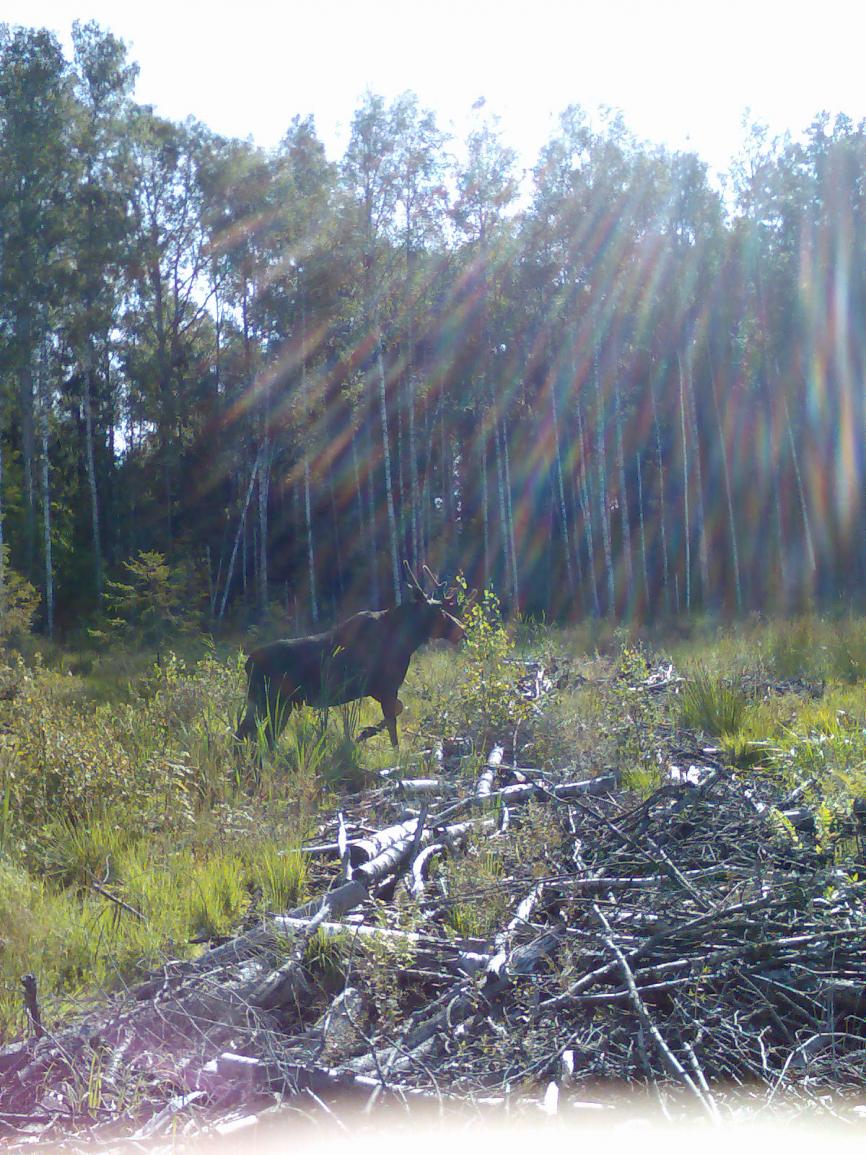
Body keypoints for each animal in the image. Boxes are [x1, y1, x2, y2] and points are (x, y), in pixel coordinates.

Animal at [235, 565, 468, 748]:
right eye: (438, 613)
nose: (461, 629)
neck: (405, 642)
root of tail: (248, 663)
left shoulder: (376, 690)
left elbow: (398, 710)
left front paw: (365, 733)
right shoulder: (385, 687)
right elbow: (393, 726)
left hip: (276, 705)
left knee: (252, 736)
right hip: (269, 702)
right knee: (251, 735)